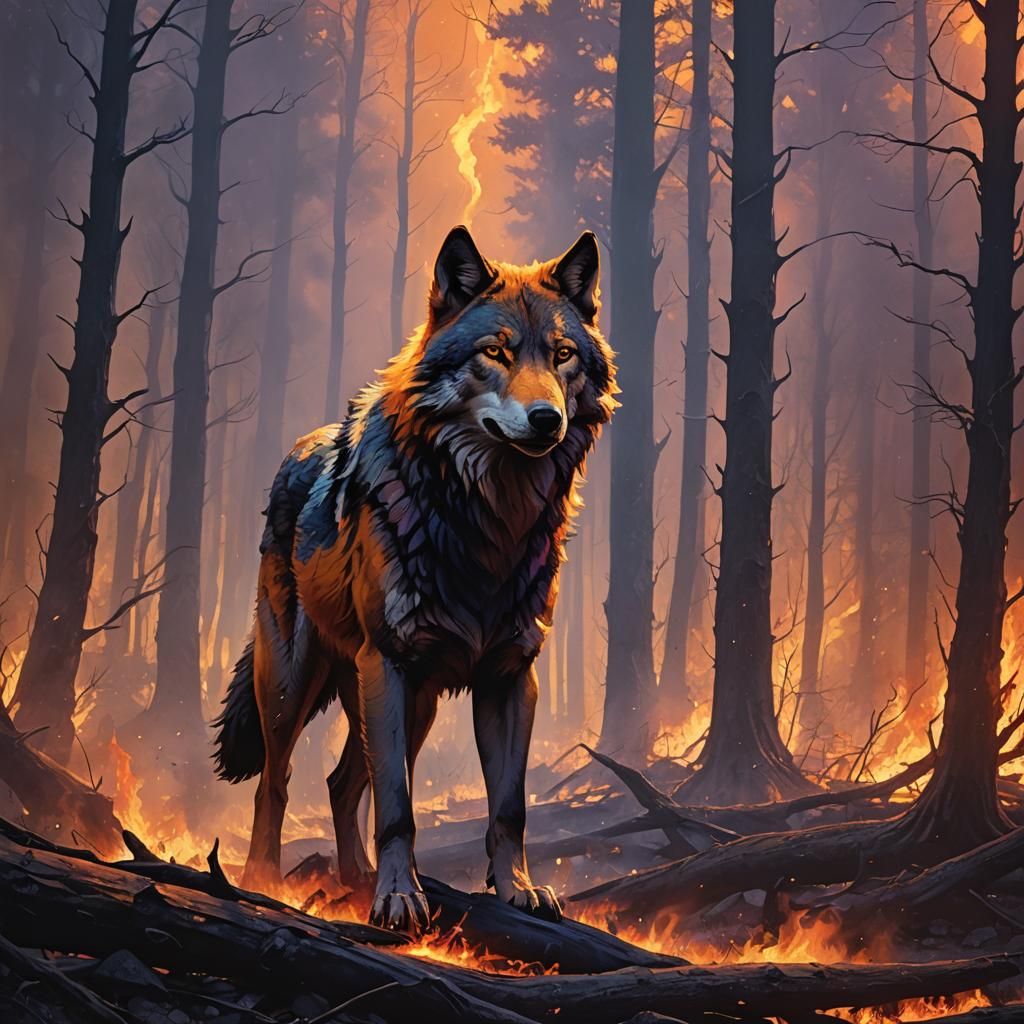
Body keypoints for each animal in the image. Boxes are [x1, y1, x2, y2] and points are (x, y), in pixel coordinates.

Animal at [212, 226, 616, 933]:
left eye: (562, 355)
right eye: (495, 352)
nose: (547, 419)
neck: (488, 524)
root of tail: (295, 450)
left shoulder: (511, 676)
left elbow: (508, 808)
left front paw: (516, 891)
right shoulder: (391, 663)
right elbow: (398, 808)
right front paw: (400, 898)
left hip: (413, 703)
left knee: (343, 783)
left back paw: (354, 879)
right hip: (297, 683)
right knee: (278, 780)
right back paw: (265, 878)